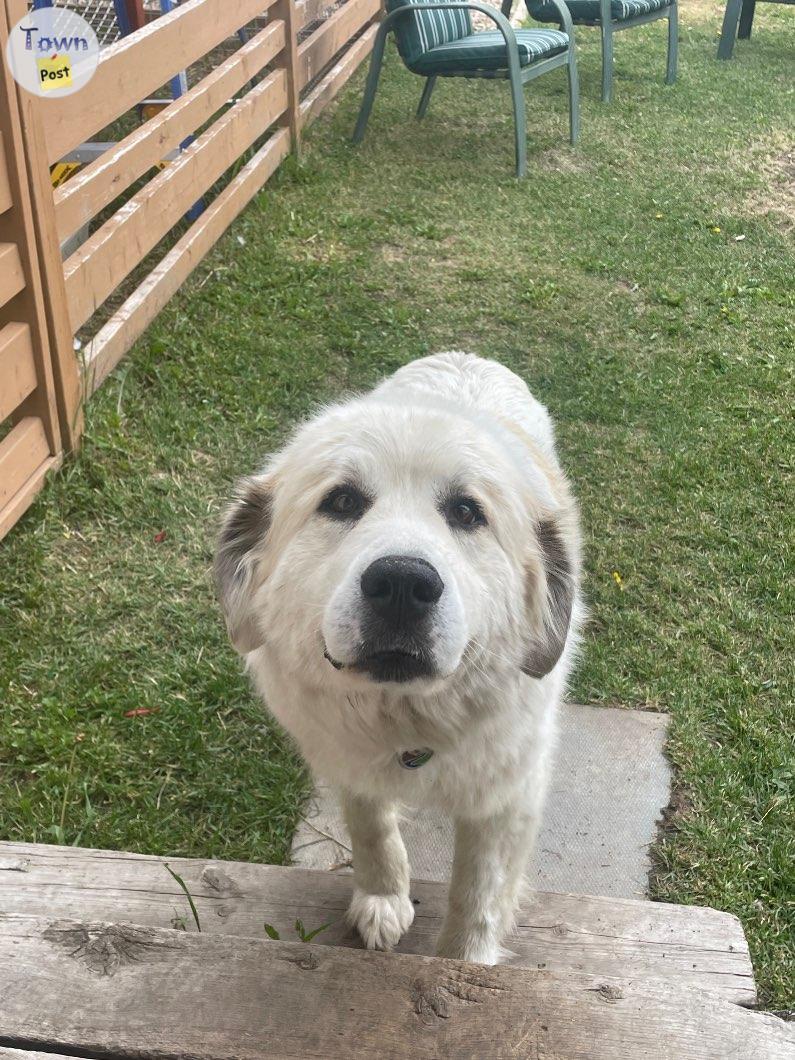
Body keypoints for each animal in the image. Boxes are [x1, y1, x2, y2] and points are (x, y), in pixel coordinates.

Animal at [215, 351, 580, 966]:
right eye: (341, 502)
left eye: (467, 511)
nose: (404, 584)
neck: (408, 721)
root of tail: (467, 355)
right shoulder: (346, 760)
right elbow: (371, 829)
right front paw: (383, 899)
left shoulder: (507, 796)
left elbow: (477, 893)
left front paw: (465, 964)